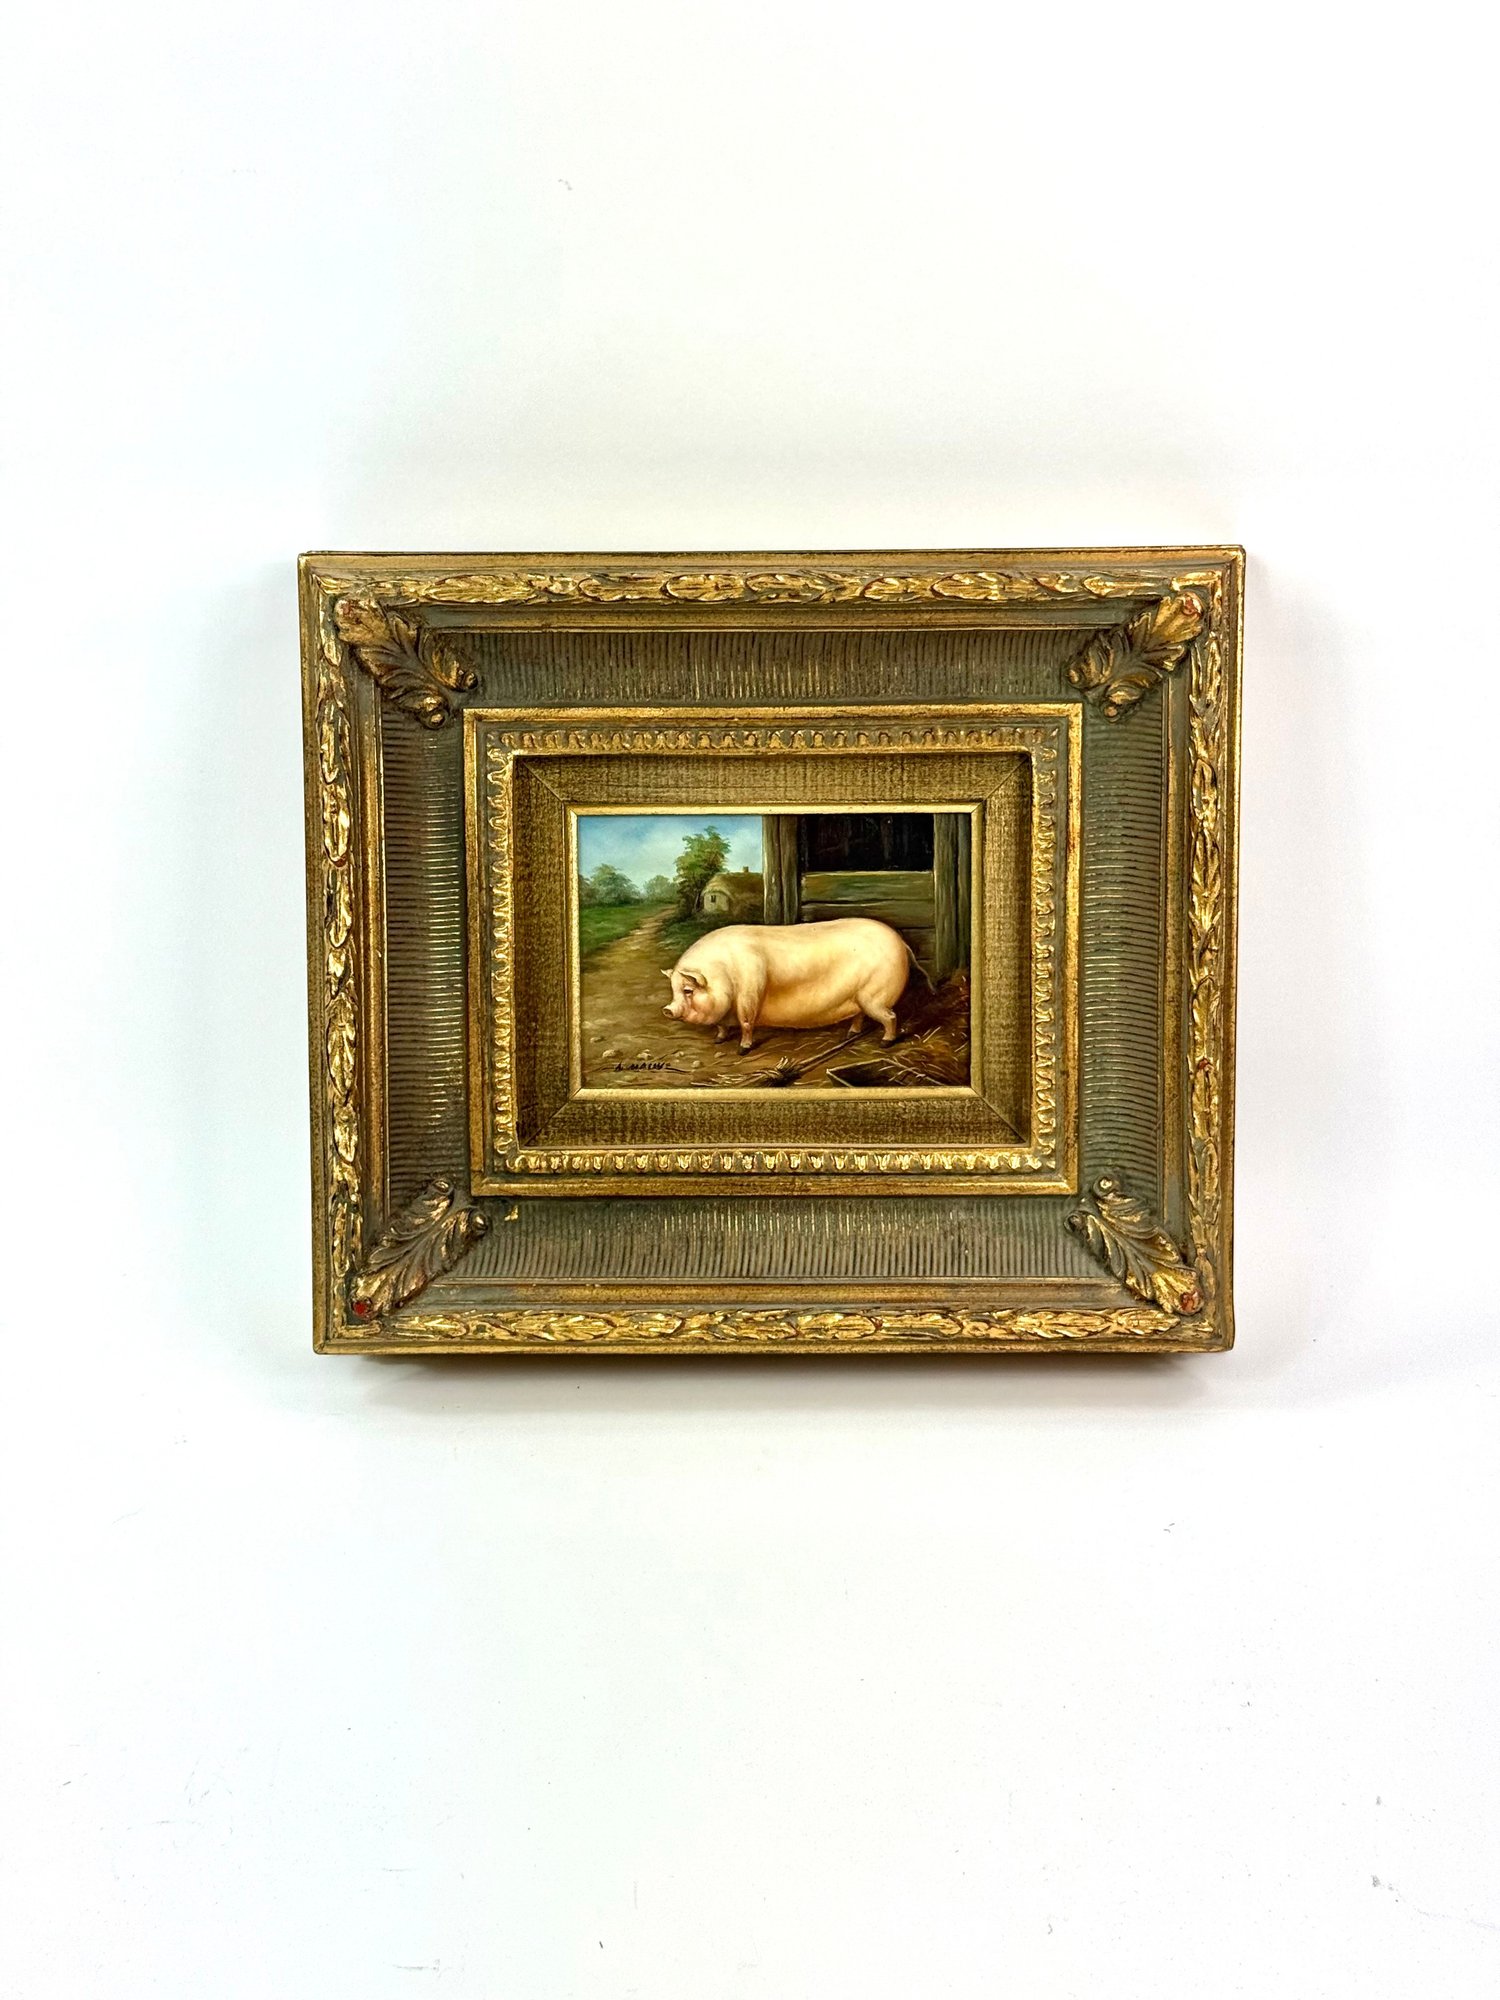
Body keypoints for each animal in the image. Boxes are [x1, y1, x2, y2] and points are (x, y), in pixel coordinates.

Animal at [662, 917, 919, 1053]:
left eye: (688, 990)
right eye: (674, 990)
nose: (667, 1010)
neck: (725, 976)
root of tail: (903, 943)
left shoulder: (749, 995)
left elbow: (746, 1023)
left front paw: (743, 1049)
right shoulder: (725, 1012)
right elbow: (722, 1026)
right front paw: (718, 1040)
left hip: (875, 996)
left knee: (890, 1017)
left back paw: (885, 1043)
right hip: (860, 998)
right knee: (860, 1015)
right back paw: (850, 1034)